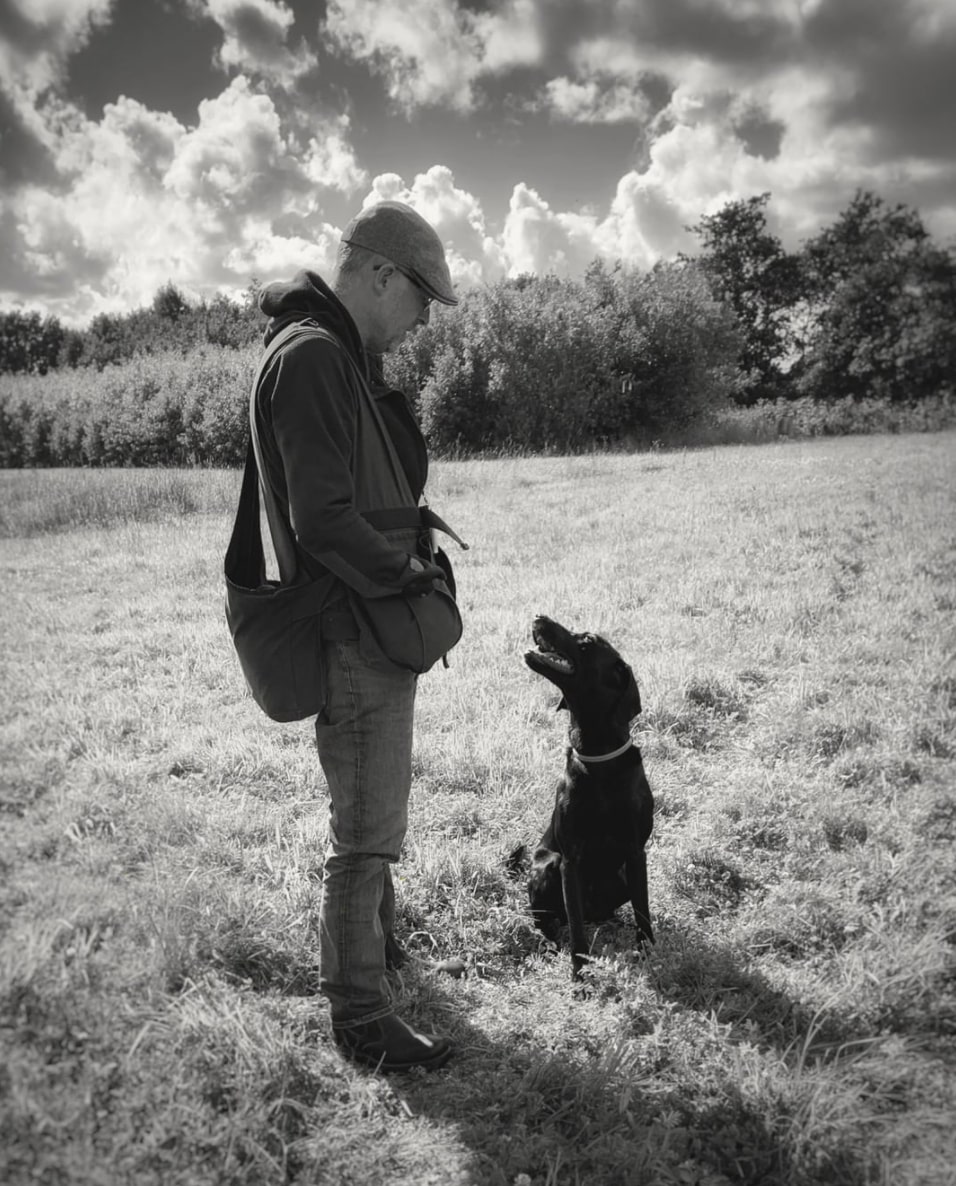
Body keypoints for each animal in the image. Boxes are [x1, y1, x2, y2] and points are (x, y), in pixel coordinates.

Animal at [519, 616, 654, 977]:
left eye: (587, 641)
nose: (538, 617)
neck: (598, 760)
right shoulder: (570, 861)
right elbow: (577, 929)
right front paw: (579, 975)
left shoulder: (635, 852)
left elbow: (644, 911)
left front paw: (650, 954)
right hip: (547, 868)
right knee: (549, 920)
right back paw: (550, 942)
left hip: (619, 876)